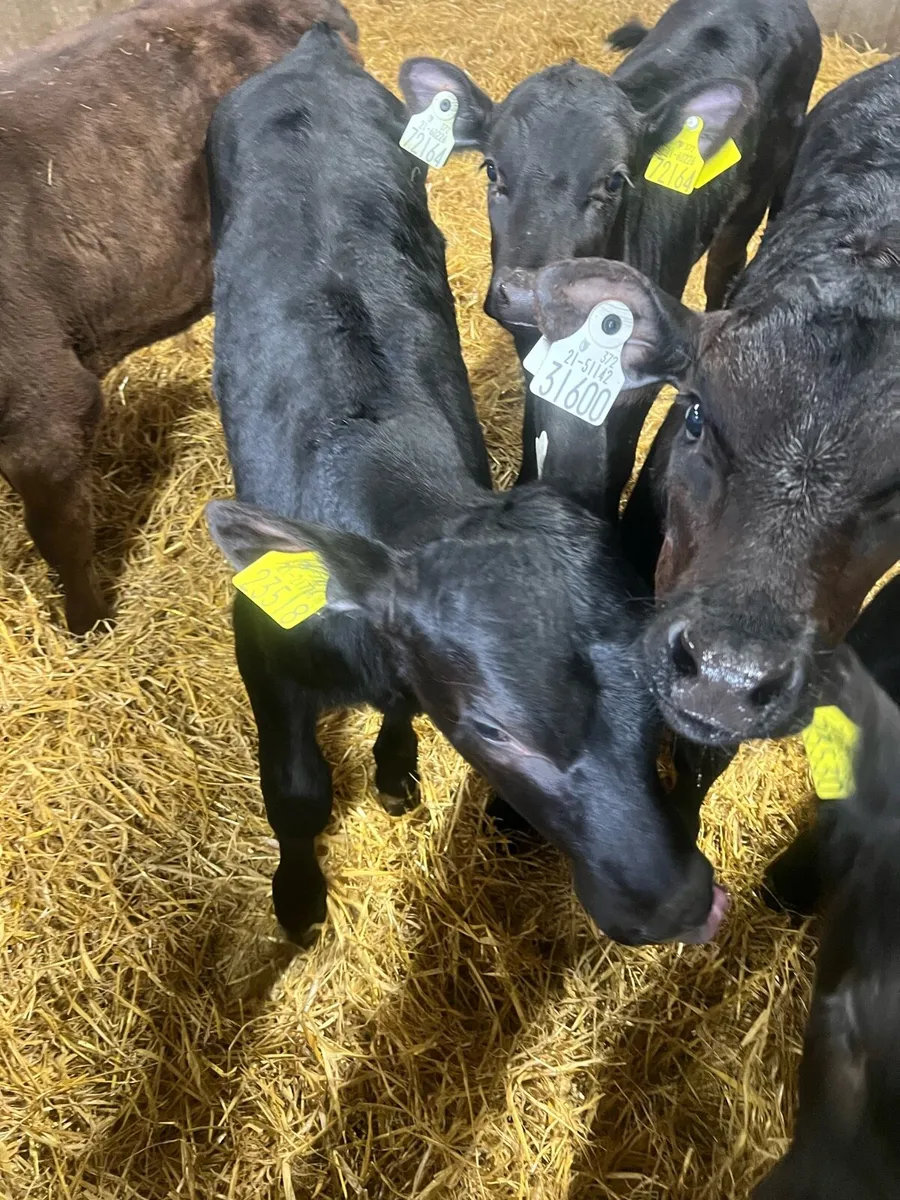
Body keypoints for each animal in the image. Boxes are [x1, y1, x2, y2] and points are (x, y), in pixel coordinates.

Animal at [203, 25, 726, 949]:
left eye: (652, 695)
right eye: (492, 730)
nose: (676, 901)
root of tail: (309, 53)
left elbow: (402, 712)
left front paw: (396, 769)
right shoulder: (260, 646)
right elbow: (295, 797)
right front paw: (297, 901)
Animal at [398, 0, 820, 519]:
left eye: (614, 180)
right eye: (492, 168)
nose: (523, 294)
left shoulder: (635, 386)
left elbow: (616, 461)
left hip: (753, 197)